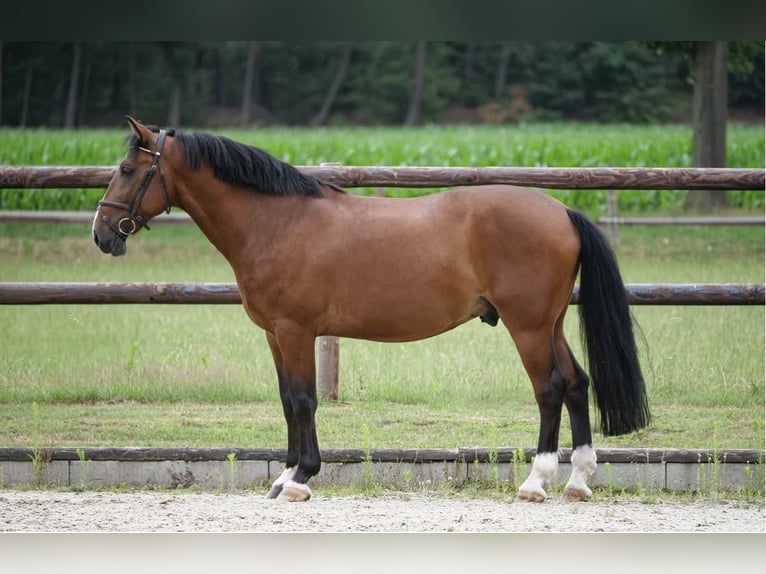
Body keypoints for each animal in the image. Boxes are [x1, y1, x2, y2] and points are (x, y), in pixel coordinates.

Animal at [92, 117, 650, 503]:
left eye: (127, 170)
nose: (102, 234)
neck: (277, 221)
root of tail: (561, 210)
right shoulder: (274, 335)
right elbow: (286, 400)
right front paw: (283, 476)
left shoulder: (295, 332)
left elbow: (303, 400)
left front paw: (300, 479)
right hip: (549, 323)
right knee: (576, 383)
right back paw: (578, 481)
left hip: (527, 325)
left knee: (550, 388)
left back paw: (536, 482)